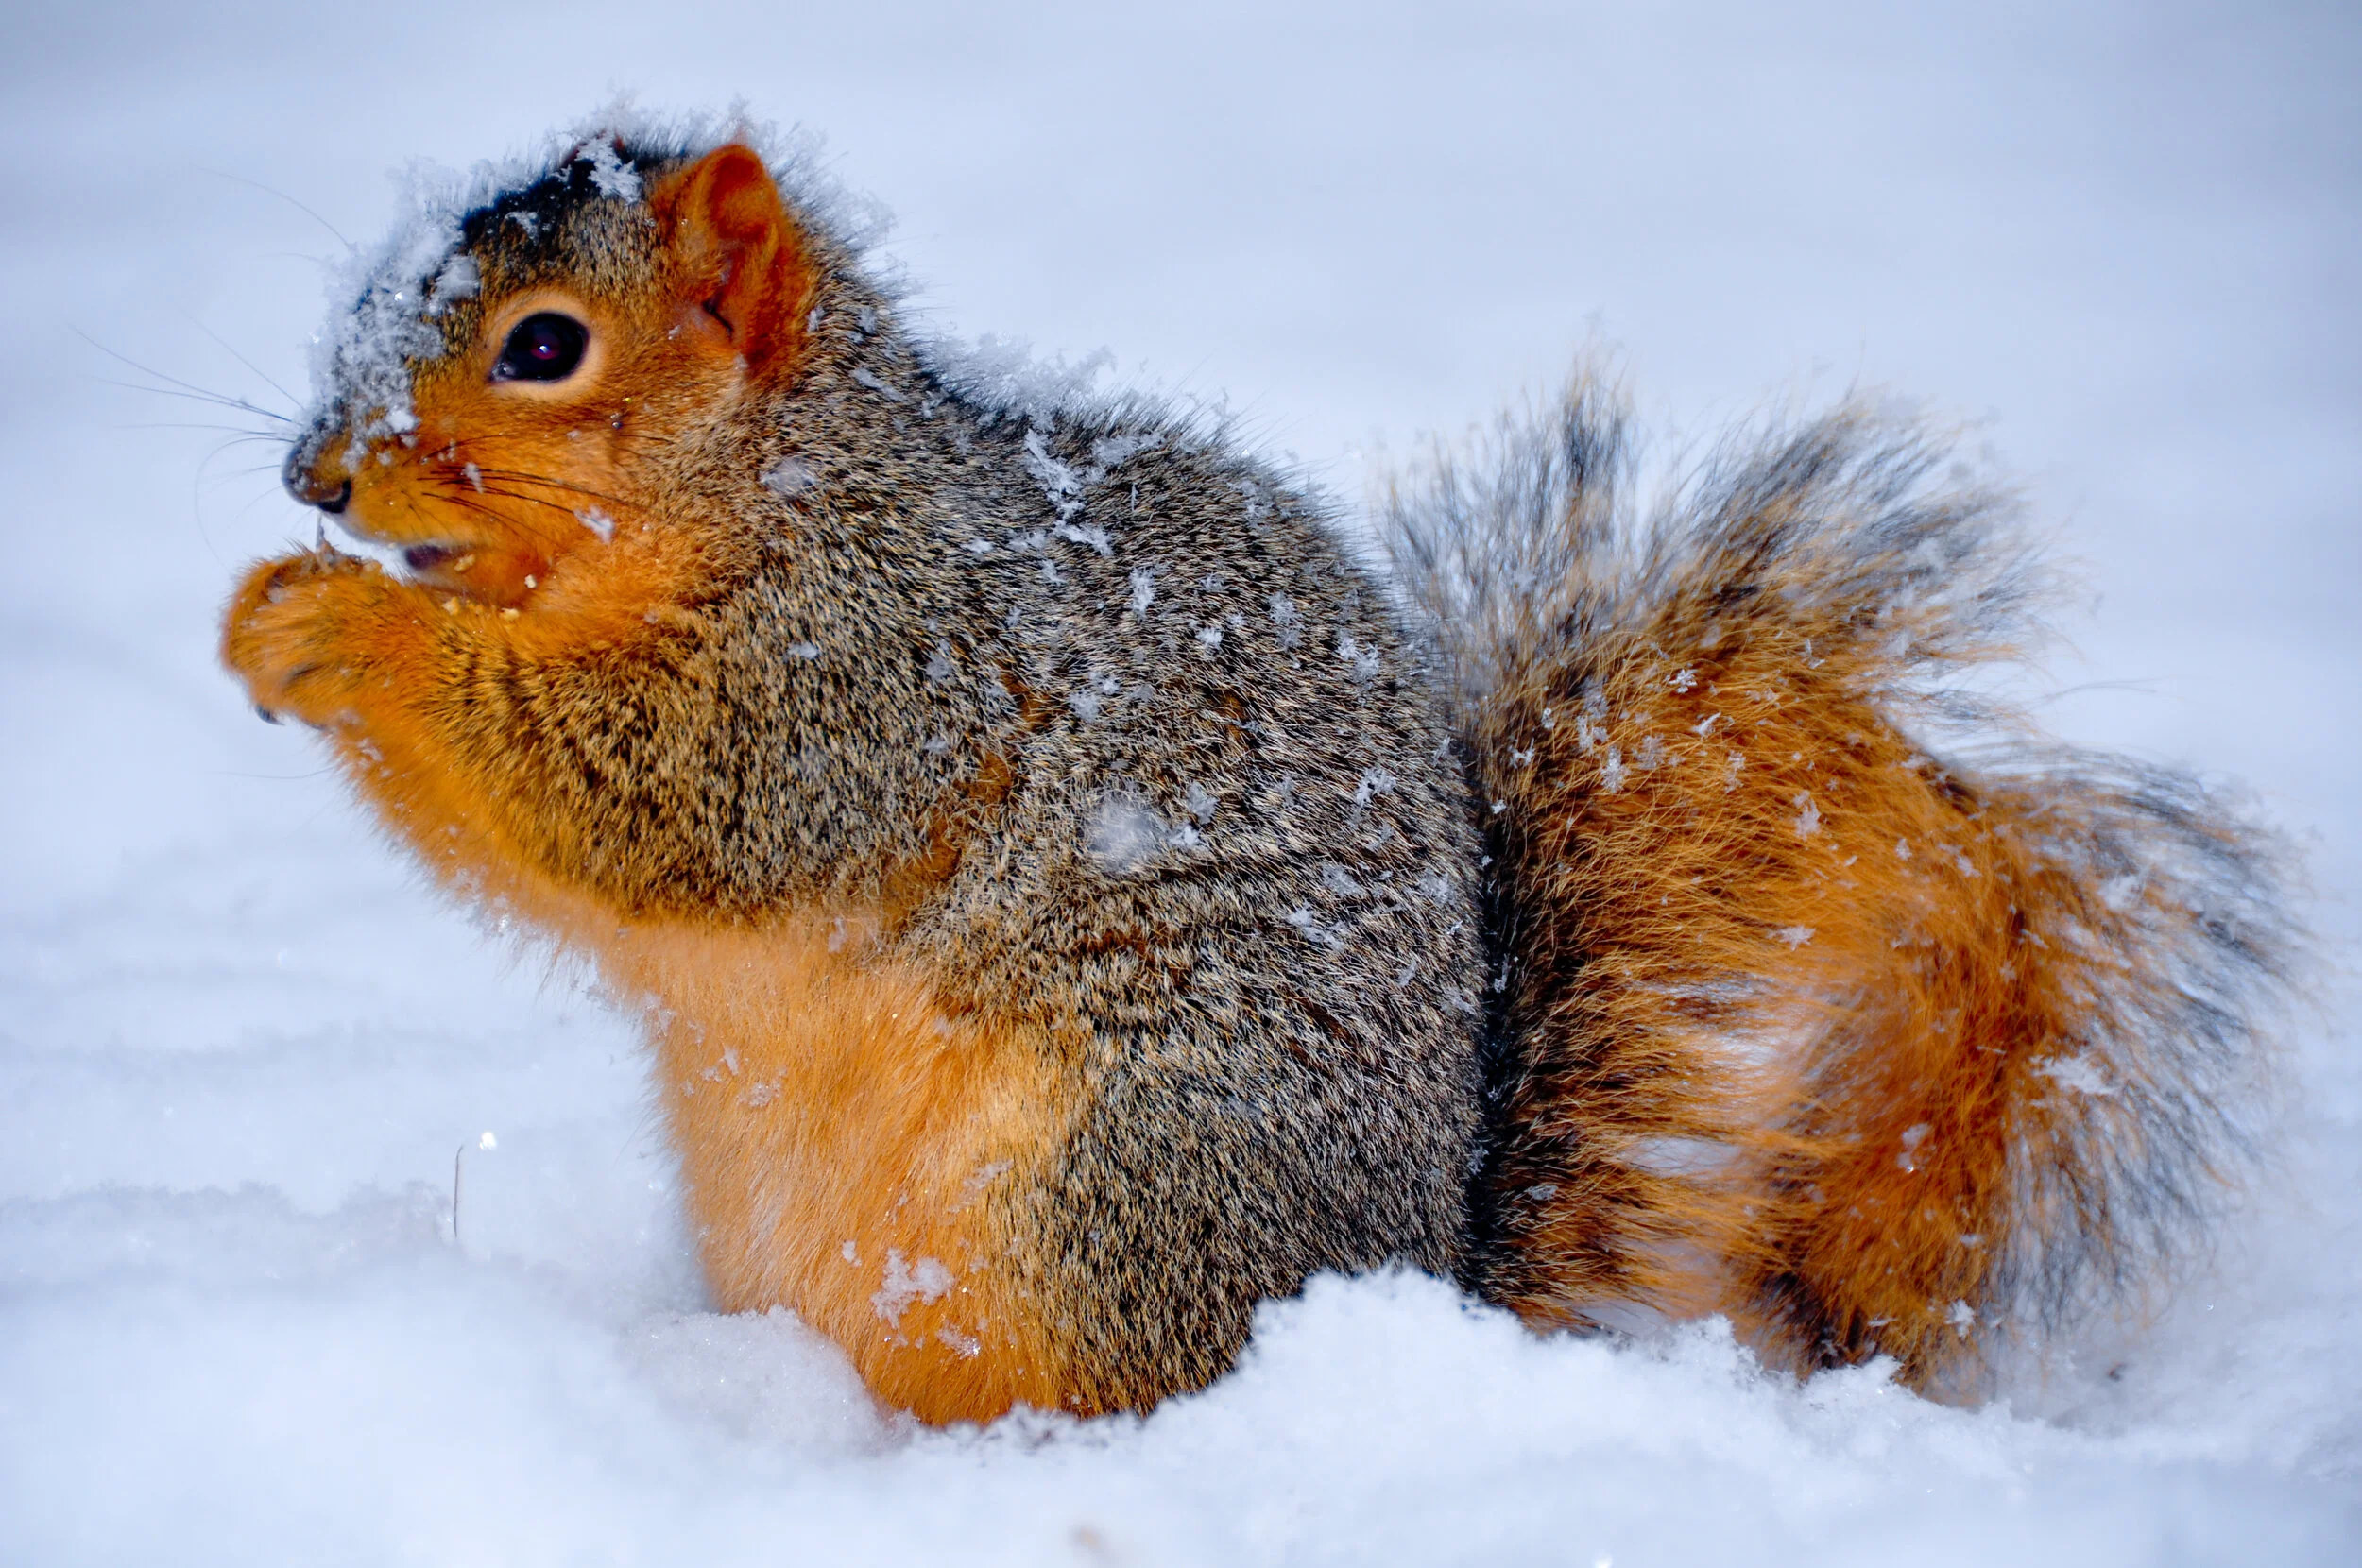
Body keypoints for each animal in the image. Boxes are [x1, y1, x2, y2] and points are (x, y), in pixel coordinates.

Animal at [221, 120, 2296, 1425]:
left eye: (543, 346)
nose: (316, 477)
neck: (784, 481)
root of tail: (1412, 1279)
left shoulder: (872, 668)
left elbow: (663, 797)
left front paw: (336, 628)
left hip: (1105, 1173)